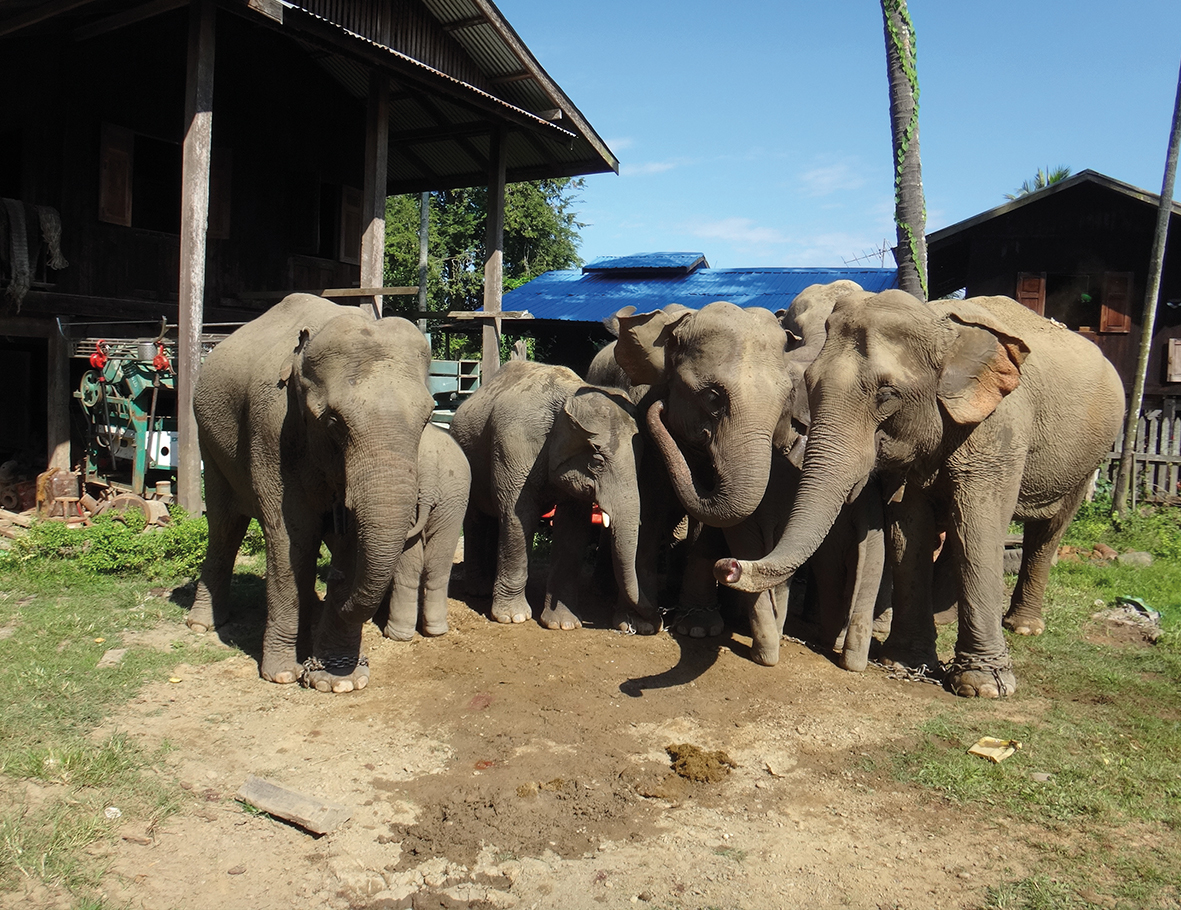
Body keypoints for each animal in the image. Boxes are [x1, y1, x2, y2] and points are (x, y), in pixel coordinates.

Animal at [187, 295, 434, 694]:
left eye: (428, 419)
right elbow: (292, 533)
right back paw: (204, 623)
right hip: (208, 440)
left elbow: (350, 540)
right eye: (333, 422)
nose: (334, 580)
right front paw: (283, 674)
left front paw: (339, 680)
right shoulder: (271, 427)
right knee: (225, 525)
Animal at [446, 358, 661, 637]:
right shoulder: (514, 446)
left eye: (641, 461)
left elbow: (573, 527)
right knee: (476, 519)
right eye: (598, 461)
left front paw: (564, 624)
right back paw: (479, 590)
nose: (658, 622)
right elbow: (520, 516)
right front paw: (513, 618)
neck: (569, 395)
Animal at [718, 291, 1124, 698]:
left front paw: (984, 686)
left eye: (886, 394)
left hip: (1089, 456)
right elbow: (908, 530)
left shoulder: (1000, 429)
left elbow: (979, 528)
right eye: (810, 382)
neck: (939, 324)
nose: (728, 566)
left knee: (1048, 530)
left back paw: (1022, 626)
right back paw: (945, 617)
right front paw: (903, 662)